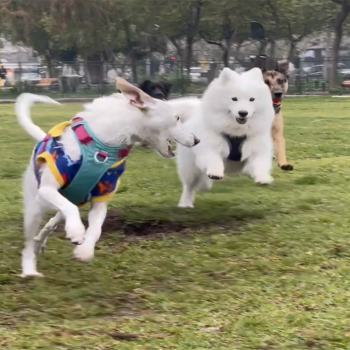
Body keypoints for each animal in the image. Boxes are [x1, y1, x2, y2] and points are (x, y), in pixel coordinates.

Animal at [16, 78, 200, 276]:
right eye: (177, 118)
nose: (197, 140)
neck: (102, 146)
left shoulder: (101, 199)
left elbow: (95, 229)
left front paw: (84, 250)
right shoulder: (48, 188)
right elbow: (69, 210)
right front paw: (76, 231)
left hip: (71, 200)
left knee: (52, 222)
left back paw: (41, 241)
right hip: (35, 206)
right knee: (30, 242)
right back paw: (30, 269)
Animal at [175, 66, 276, 206]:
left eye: (252, 99)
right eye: (234, 99)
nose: (243, 113)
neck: (236, 133)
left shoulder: (257, 149)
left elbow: (261, 164)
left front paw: (263, 179)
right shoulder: (209, 149)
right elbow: (214, 160)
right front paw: (215, 173)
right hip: (190, 169)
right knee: (189, 187)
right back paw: (185, 204)